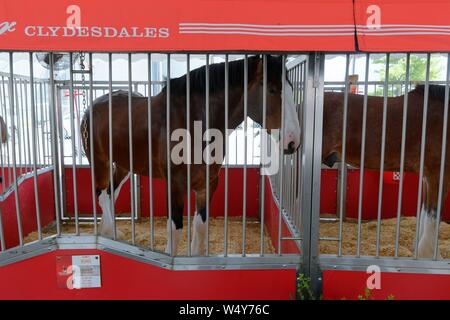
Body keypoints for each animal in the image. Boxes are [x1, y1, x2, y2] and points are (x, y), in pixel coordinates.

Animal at [81, 54, 300, 255]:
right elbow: (175, 229)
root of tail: (93, 106)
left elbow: (200, 226)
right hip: (100, 162)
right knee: (101, 194)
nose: (293, 141)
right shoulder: (175, 184)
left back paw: (110, 233)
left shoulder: (208, 183)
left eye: (290, 89)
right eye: (271, 89)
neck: (192, 122)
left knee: (111, 193)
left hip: (124, 164)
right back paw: (109, 233)